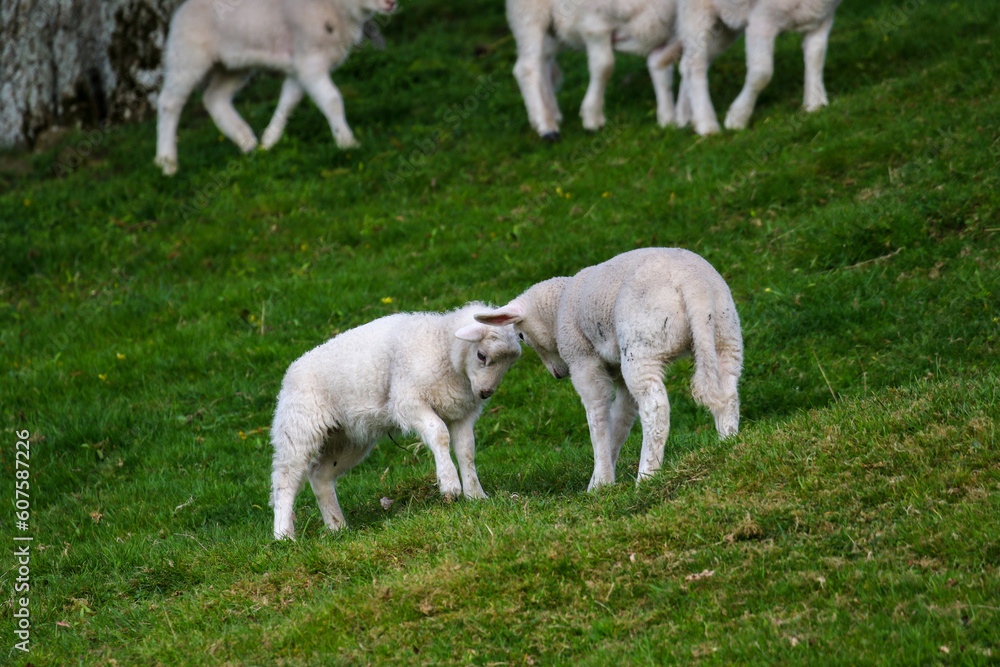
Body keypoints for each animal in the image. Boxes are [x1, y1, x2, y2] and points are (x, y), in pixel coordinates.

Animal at [154, 0, 396, 176]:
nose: (391, 2)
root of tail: (180, 10)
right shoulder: (310, 59)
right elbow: (332, 100)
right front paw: (347, 142)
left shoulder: (299, 66)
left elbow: (289, 101)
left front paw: (269, 141)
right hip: (187, 56)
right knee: (169, 103)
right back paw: (167, 163)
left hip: (234, 64)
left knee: (214, 97)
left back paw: (246, 140)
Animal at [270, 303, 521, 540]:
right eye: (482, 355)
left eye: (510, 364)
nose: (486, 393)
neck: (441, 345)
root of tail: (290, 372)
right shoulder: (408, 401)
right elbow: (439, 433)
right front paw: (449, 484)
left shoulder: (462, 413)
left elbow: (467, 450)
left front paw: (476, 495)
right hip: (299, 427)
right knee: (285, 479)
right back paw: (284, 534)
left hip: (346, 438)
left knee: (320, 476)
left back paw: (337, 527)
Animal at [475, 248, 742, 490]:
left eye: (521, 336)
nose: (558, 374)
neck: (560, 305)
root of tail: (695, 286)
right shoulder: (619, 373)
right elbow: (621, 420)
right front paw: (601, 476)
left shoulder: (582, 359)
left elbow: (598, 416)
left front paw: (601, 483)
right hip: (726, 334)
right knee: (728, 393)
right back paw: (727, 444)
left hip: (643, 341)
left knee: (656, 408)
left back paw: (647, 476)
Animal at [507, 0, 682, 140]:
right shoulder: (595, 24)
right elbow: (604, 66)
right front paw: (593, 118)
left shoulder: (665, 34)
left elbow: (662, 70)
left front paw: (668, 119)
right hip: (529, 12)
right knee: (526, 67)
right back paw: (546, 126)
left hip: (556, 29)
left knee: (543, 61)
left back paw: (551, 113)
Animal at [674, 0, 843, 135]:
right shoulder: (762, 20)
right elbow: (762, 73)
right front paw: (737, 118)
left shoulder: (821, 19)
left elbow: (816, 58)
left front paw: (814, 105)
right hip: (695, 10)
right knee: (695, 64)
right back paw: (707, 125)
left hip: (725, 26)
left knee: (689, 63)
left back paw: (685, 118)